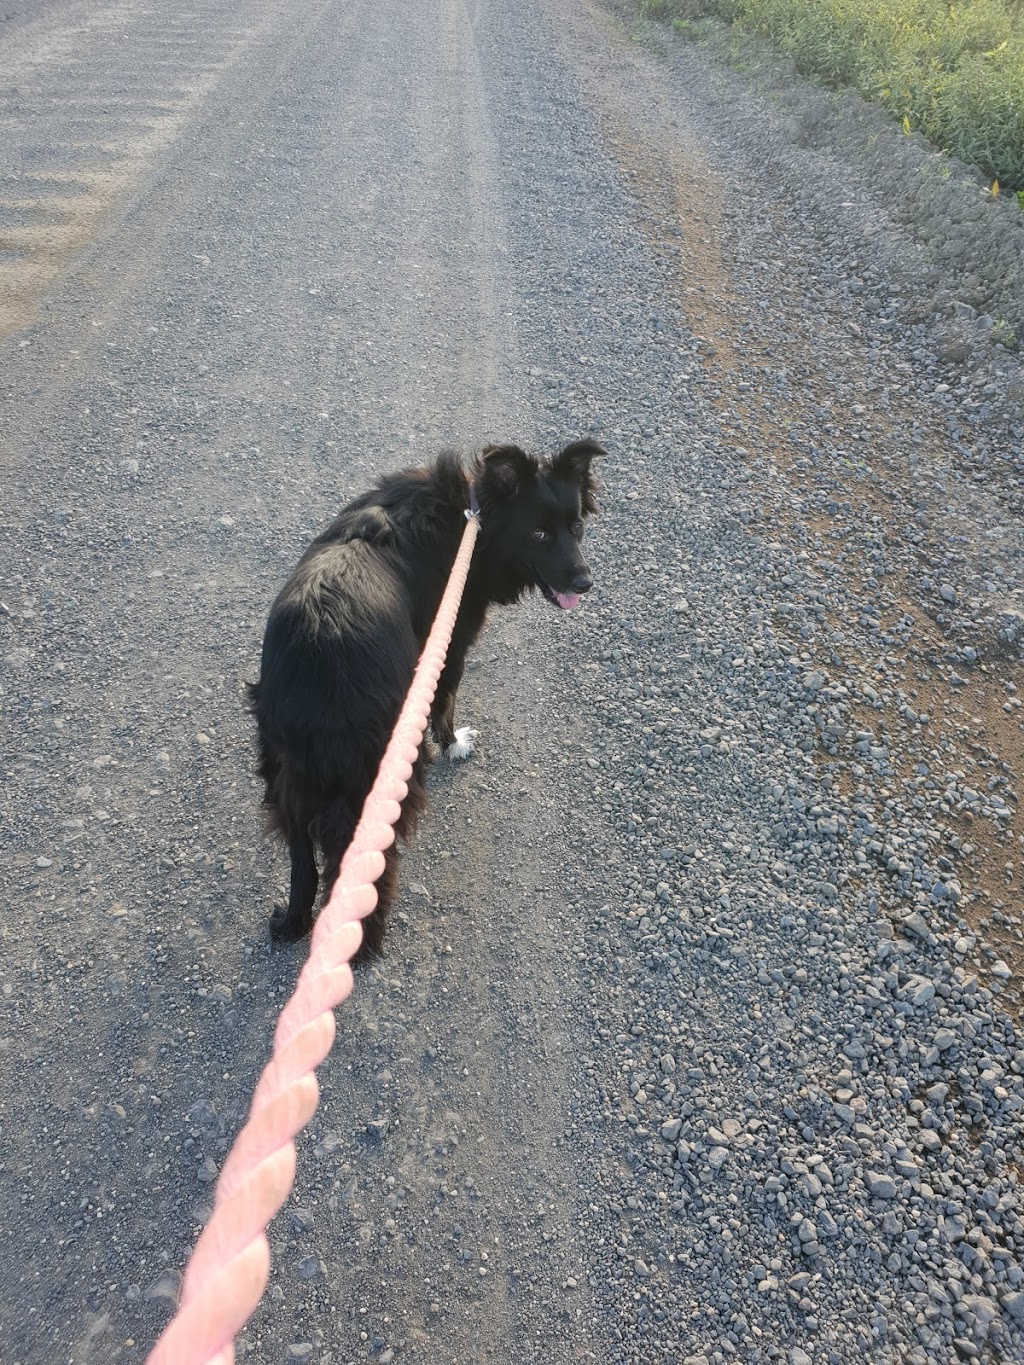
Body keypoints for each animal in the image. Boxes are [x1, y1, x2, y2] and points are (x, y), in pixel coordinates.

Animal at [251, 442, 600, 955]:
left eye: (576, 528)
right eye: (538, 533)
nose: (585, 583)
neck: (472, 514)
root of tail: (317, 659)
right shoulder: (449, 640)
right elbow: (446, 699)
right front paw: (454, 744)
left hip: (284, 771)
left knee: (303, 864)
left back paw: (293, 923)